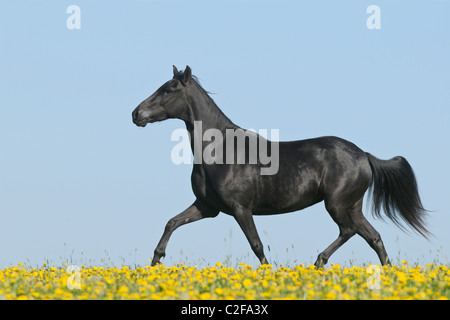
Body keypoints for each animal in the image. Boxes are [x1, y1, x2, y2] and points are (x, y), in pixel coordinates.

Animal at [131, 65, 428, 268]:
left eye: (169, 89)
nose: (136, 114)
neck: (220, 152)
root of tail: (364, 156)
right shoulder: (208, 207)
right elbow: (172, 222)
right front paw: (155, 261)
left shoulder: (241, 208)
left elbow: (257, 245)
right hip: (352, 206)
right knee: (373, 237)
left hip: (337, 204)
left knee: (349, 231)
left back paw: (318, 263)